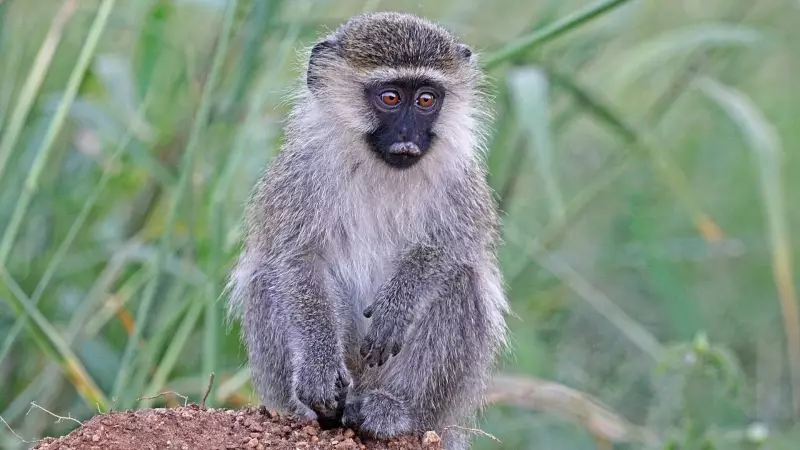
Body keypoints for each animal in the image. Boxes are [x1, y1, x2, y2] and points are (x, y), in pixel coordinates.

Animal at [227, 11, 509, 450]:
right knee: (266, 277)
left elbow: (450, 249)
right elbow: (296, 258)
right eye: (390, 98)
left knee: (462, 282)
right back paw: (320, 411)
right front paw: (317, 369)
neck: (381, 168)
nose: (408, 137)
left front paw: (397, 305)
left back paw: (392, 410)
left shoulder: (463, 180)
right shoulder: (300, 173)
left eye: (426, 99)